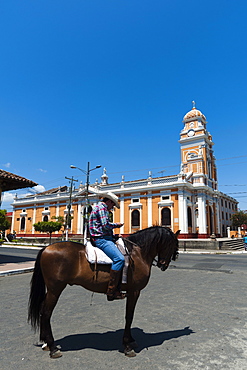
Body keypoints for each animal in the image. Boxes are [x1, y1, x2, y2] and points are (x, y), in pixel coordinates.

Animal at [28, 225, 179, 358]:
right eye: (173, 244)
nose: (164, 265)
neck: (138, 253)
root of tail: (46, 248)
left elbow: (129, 316)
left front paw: (130, 340)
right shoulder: (134, 291)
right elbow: (129, 316)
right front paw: (127, 345)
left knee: (42, 310)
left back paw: (46, 342)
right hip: (55, 288)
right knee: (46, 312)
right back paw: (53, 347)